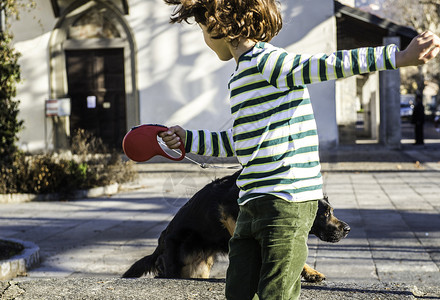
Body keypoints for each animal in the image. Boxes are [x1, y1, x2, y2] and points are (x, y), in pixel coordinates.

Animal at [124, 170, 350, 282]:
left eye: (332, 211)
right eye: (326, 213)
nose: (347, 229)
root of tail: (159, 246)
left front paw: (311, 273)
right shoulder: (229, 212)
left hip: (199, 269)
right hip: (174, 262)